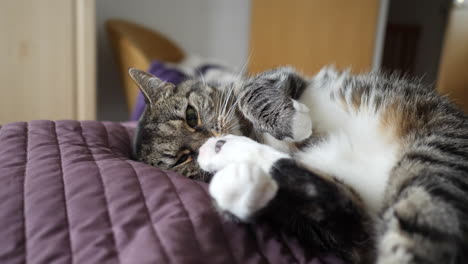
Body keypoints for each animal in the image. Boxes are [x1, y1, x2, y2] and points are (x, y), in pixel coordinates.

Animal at [129, 65, 468, 262]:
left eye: (191, 116)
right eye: (182, 159)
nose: (206, 141)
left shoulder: (281, 76)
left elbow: (249, 91)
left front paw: (291, 123)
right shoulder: (348, 233)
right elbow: (331, 208)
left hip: (436, 155)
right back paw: (231, 172)